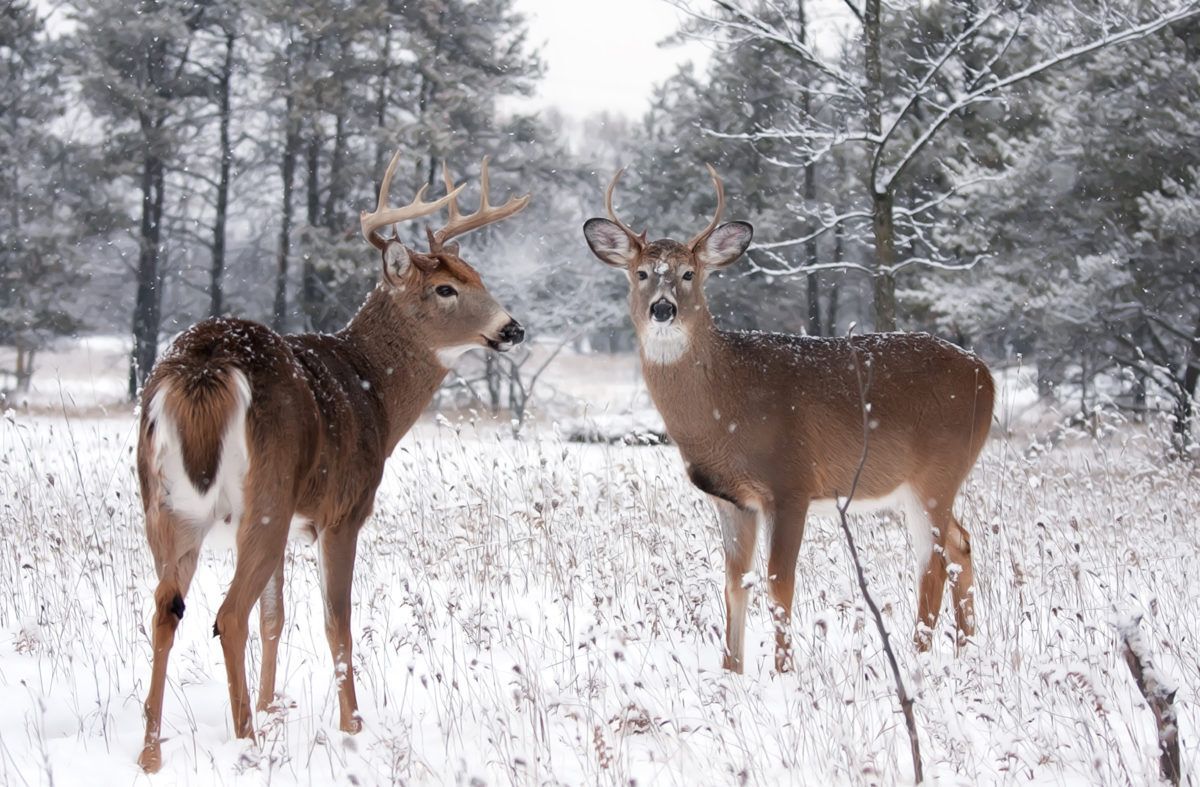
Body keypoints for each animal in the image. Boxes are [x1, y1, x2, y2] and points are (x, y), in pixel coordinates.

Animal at [134, 150, 529, 772]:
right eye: (445, 288)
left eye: (478, 277)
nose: (512, 329)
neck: (376, 395)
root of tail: (203, 367)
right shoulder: (343, 510)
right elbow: (336, 620)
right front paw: (353, 726)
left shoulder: (295, 520)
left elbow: (276, 617)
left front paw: (273, 707)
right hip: (264, 497)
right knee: (227, 614)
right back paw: (246, 743)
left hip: (168, 506)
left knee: (165, 609)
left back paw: (151, 754)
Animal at [583, 166, 993, 674]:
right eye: (640, 273)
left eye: (688, 273)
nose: (663, 308)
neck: (727, 405)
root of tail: (986, 374)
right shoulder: (731, 499)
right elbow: (735, 583)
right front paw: (732, 671)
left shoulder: (791, 482)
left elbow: (780, 583)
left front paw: (784, 671)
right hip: (923, 484)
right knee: (962, 542)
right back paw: (966, 648)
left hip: (937, 474)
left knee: (932, 561)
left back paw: (917, 658)